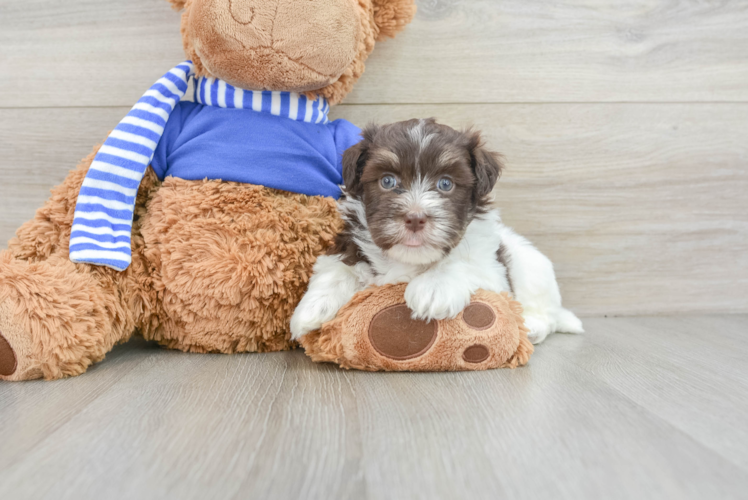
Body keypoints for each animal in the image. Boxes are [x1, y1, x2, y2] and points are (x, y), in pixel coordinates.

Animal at [290, 118, 580, 344]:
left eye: (445, 184)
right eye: (387, 181)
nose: (415, 218)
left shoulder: (493, 273)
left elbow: (463, 263)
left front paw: (433, 288)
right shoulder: (350, 244)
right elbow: (337, 269)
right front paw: (311, 309)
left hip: (533, 268)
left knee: (546, 313)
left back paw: (532, 326)